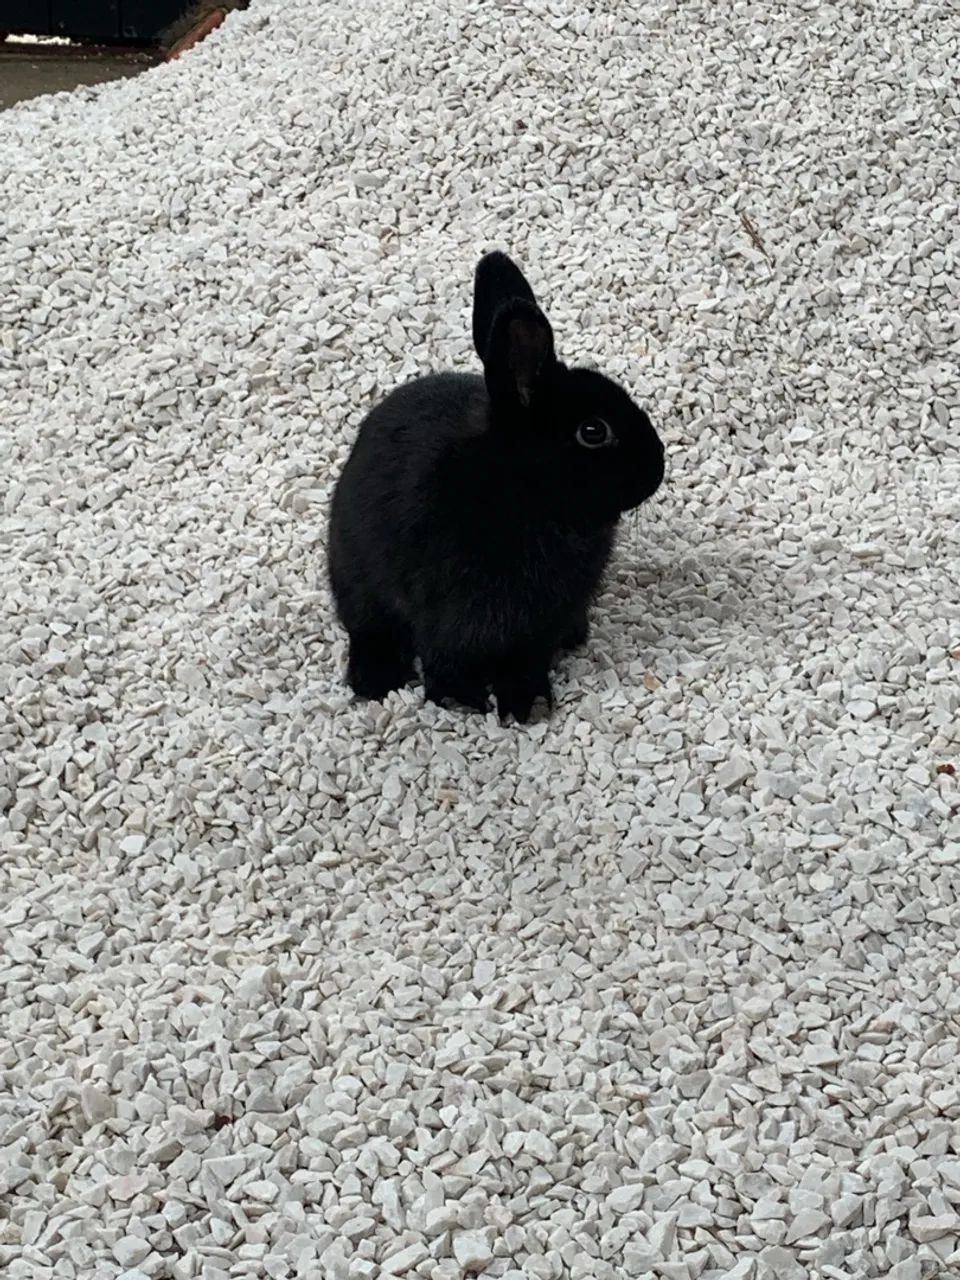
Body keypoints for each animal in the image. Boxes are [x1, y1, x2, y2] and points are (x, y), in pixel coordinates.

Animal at [327, 250, 664, 723]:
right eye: (593, 431)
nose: (658, 469)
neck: (523, 494)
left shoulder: (538, 626)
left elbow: (525, 662)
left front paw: (528, 704)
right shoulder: (443, 610)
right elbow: (442, 656)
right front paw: (459, 699)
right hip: (354, 577)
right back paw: (374, 681)